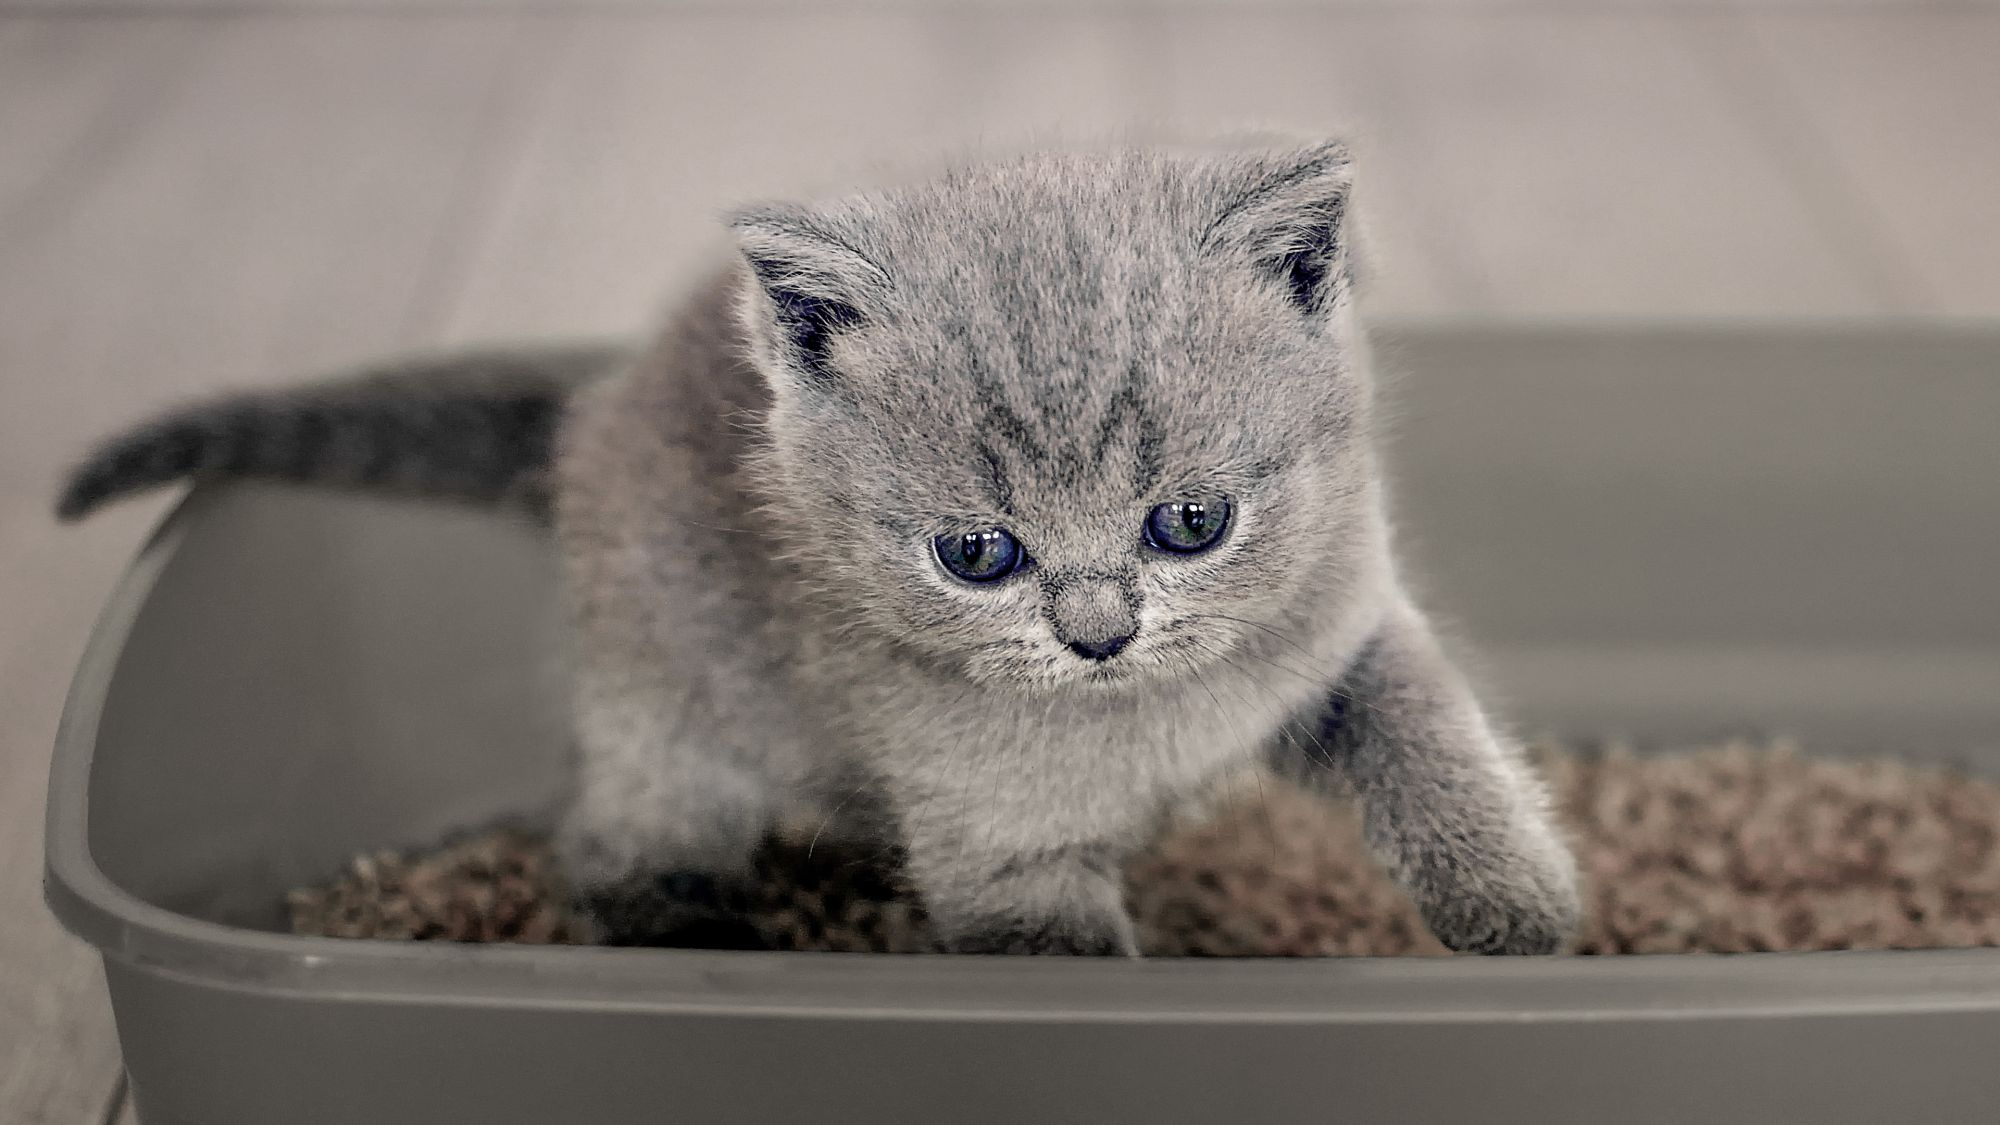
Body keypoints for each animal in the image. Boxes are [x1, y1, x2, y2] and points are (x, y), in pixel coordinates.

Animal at [58, 136, 1576, 948]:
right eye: (978, 556)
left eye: (1191, 522)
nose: (1098, 632)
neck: (1148, 722)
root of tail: (594, 404)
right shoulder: (1000, 865)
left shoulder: (1348, 625)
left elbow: (1431, 730)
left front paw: (1516, 902)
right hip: (672, 716)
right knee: (605, 844)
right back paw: (693, 925)